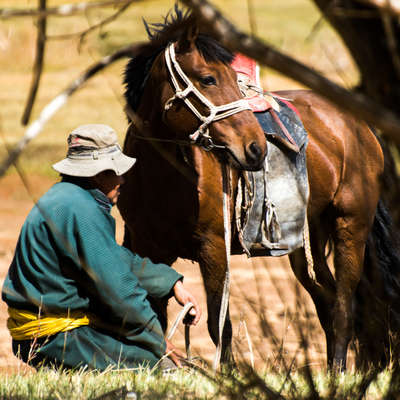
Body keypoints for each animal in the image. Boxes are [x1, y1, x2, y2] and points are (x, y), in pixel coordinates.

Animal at [117, 10, 400, 370]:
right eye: (208, 79)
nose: (256, 148)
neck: (162, 177)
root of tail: (359, 126)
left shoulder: (214, 248)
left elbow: (219, 325)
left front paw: (228, 374)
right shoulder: (145, 247)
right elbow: (155, 313)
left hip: (351, 226)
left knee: (343, 307)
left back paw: (337, 372)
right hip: (307, 240)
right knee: (326, 301)